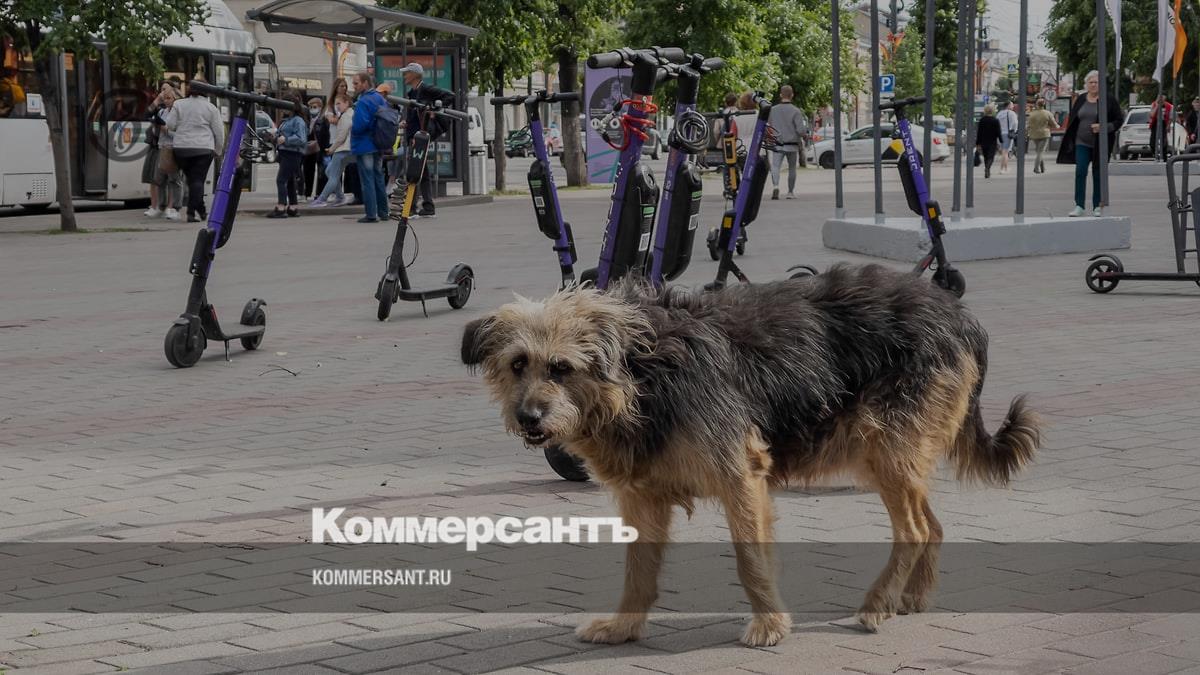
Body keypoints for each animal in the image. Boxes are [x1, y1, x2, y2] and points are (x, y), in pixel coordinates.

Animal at [458, 264, 1041, 648]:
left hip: (886, 447)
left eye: (561, 368)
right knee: (934, 524)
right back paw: (913, 598)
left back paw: (879, 604)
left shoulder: (741, 475)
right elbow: (637, 569)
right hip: (898, 454)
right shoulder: (642, 495)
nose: (528, 418)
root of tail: (958, 313)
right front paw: (623, 626)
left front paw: (769, 625)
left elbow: (749, 560)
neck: (642, 372)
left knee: (916, 529)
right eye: (517, 364)